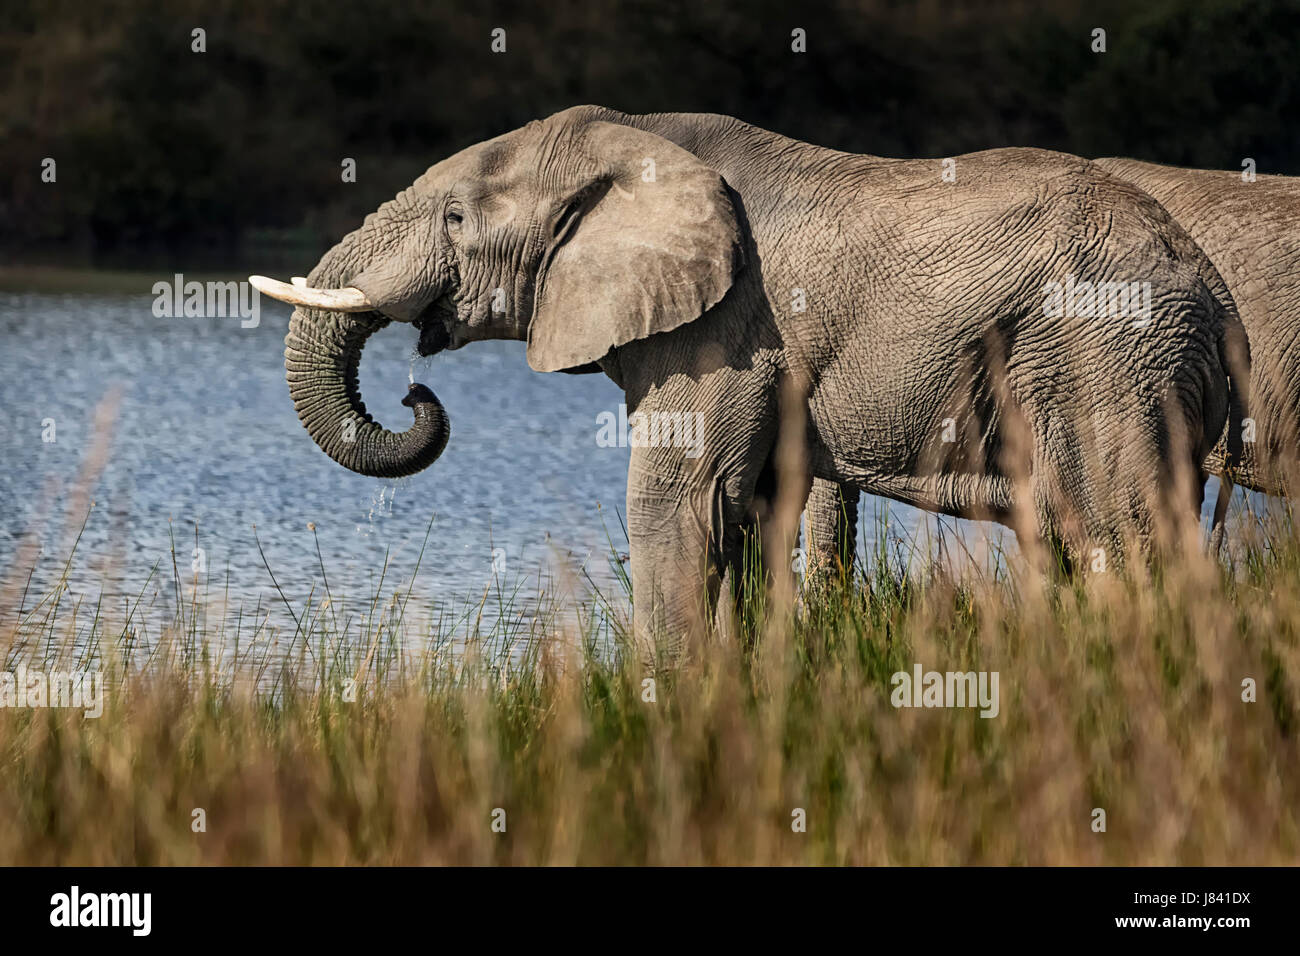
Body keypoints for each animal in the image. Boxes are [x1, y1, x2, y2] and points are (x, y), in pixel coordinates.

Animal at [248, 102, 1242, 658]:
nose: (415, 393)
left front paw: (665, 698)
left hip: (1106, 359)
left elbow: (677, 502)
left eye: (455, 218)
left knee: (1124, 531)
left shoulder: (723, 329)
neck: (637, 142)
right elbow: (755, 505)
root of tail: (1212, 291)